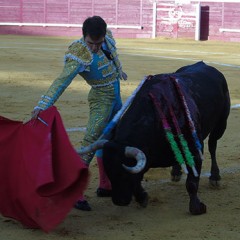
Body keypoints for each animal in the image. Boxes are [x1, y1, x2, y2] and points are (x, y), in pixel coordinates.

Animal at [79, 61, 230, 215]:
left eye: (124, 174)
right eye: (108, 171)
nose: (119, 201)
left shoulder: (195, 149)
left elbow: (192, 183)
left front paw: (197, 207)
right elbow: (138, 180)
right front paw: (142, 198)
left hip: (221, 124)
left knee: (212, 145)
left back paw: (215, 177)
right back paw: (176, 172)